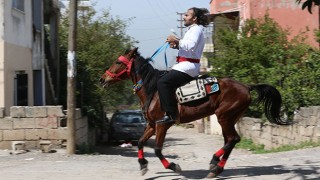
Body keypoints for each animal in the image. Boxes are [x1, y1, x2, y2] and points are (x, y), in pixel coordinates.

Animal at [100, 48, 290, 179]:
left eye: (118, 62)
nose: (102, 79)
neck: (153, 90)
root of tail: (246, 87)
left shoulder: (163, 124)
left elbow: (158, 150)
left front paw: (173, 166)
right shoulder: (152, 125)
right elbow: (140, 142)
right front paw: (143, 165)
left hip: (224, 116)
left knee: (233, 139)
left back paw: (215, 164)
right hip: (229, 118)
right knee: (230, 140)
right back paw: (215, 167)